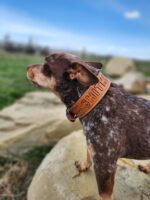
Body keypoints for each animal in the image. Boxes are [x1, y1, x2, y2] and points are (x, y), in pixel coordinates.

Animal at [27, 52, 150, 200]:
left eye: (46, 66)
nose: (27, 67)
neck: (94, 101)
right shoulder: (92, 145)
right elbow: (88, 154)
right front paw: (84, 165)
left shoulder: (105, 167)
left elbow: (104, 194)